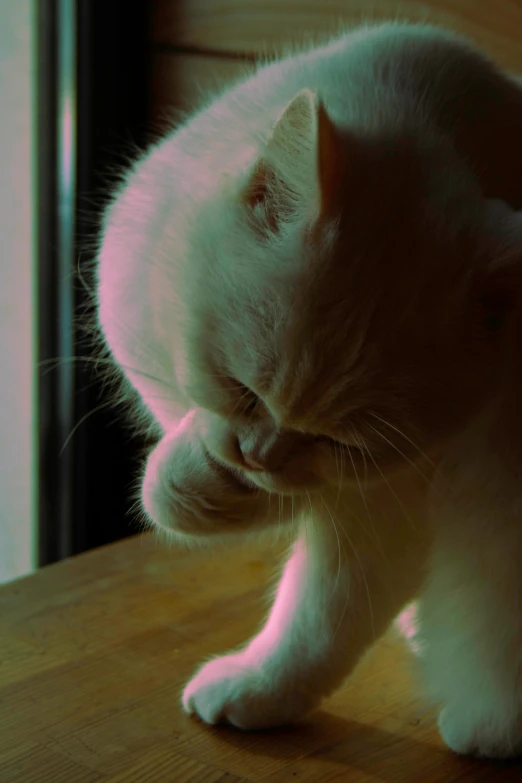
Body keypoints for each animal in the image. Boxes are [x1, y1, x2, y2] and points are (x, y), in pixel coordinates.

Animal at [95, 23, 520, 760]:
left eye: (336, 440)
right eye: (242, 391)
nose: (258, 457)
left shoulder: (387, 496)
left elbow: (323, 616)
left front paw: (259, 691)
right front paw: (204, 481)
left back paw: (488, 724)